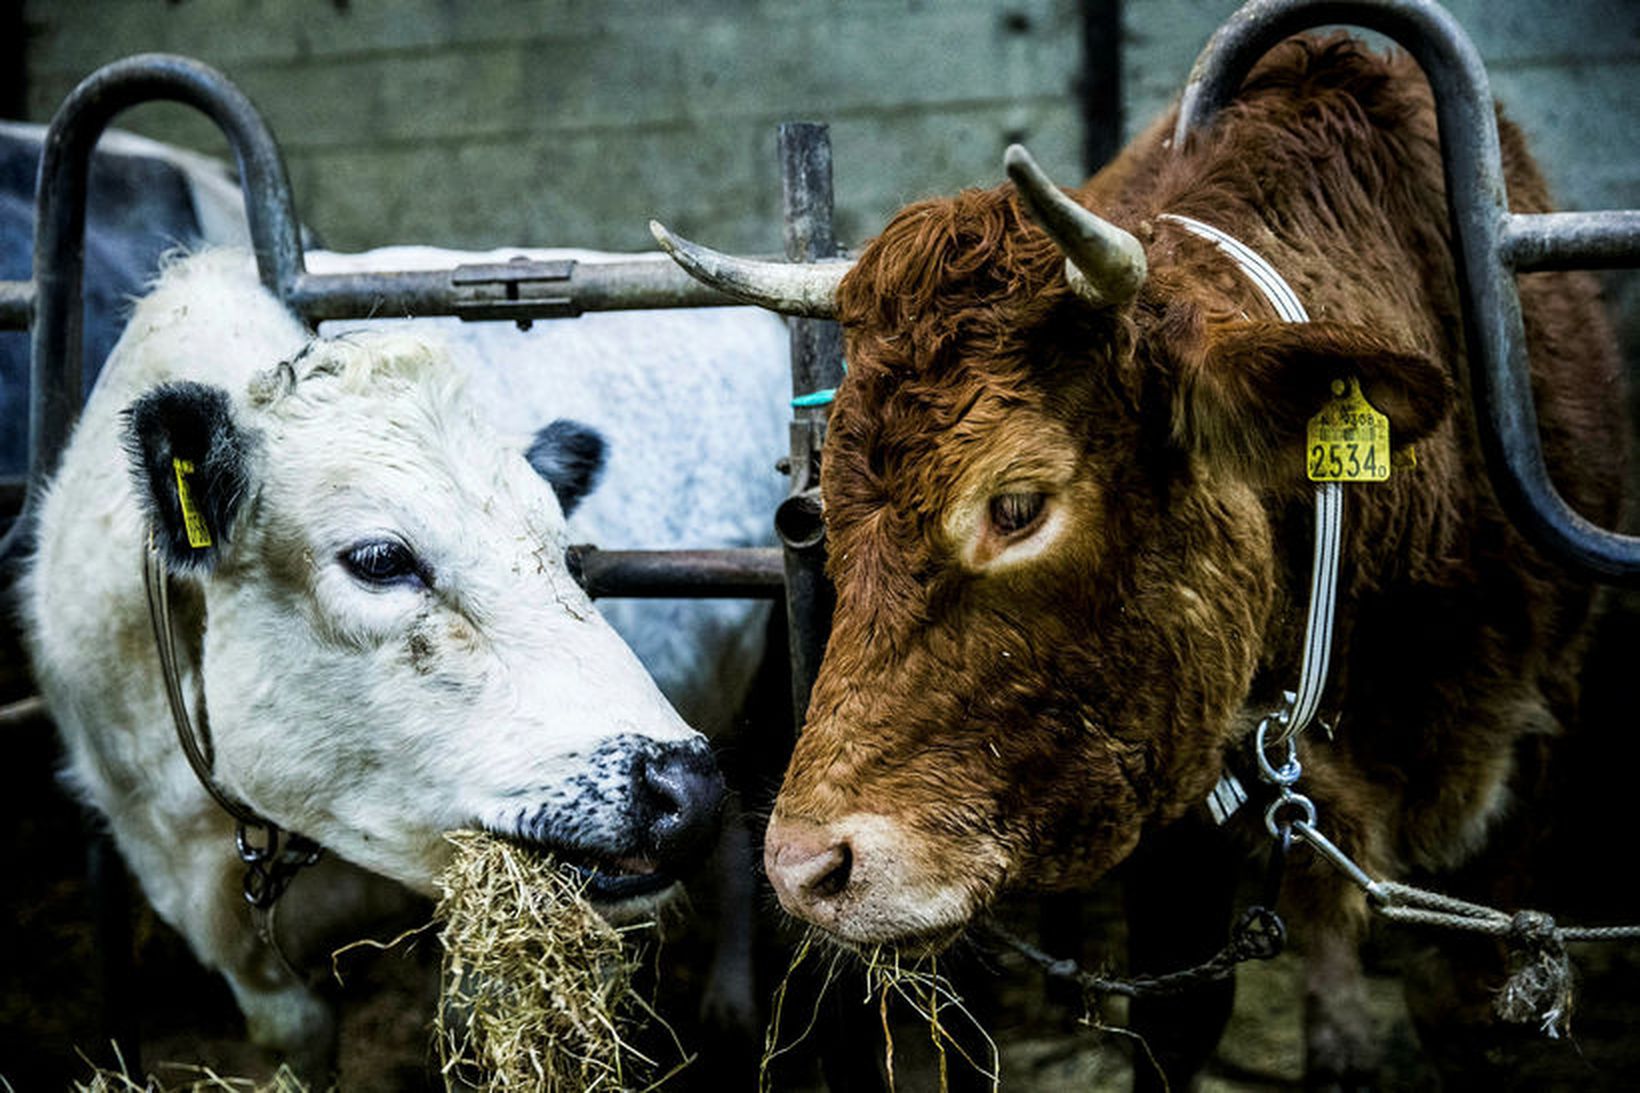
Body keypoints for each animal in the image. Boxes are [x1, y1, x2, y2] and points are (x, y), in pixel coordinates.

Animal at [652, 34, 1626, 1083]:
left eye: (1017, 505)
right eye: (824, 501)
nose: (804, 869)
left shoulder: (1525, 774)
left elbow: (1464, 1008)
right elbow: (1178, 1019)